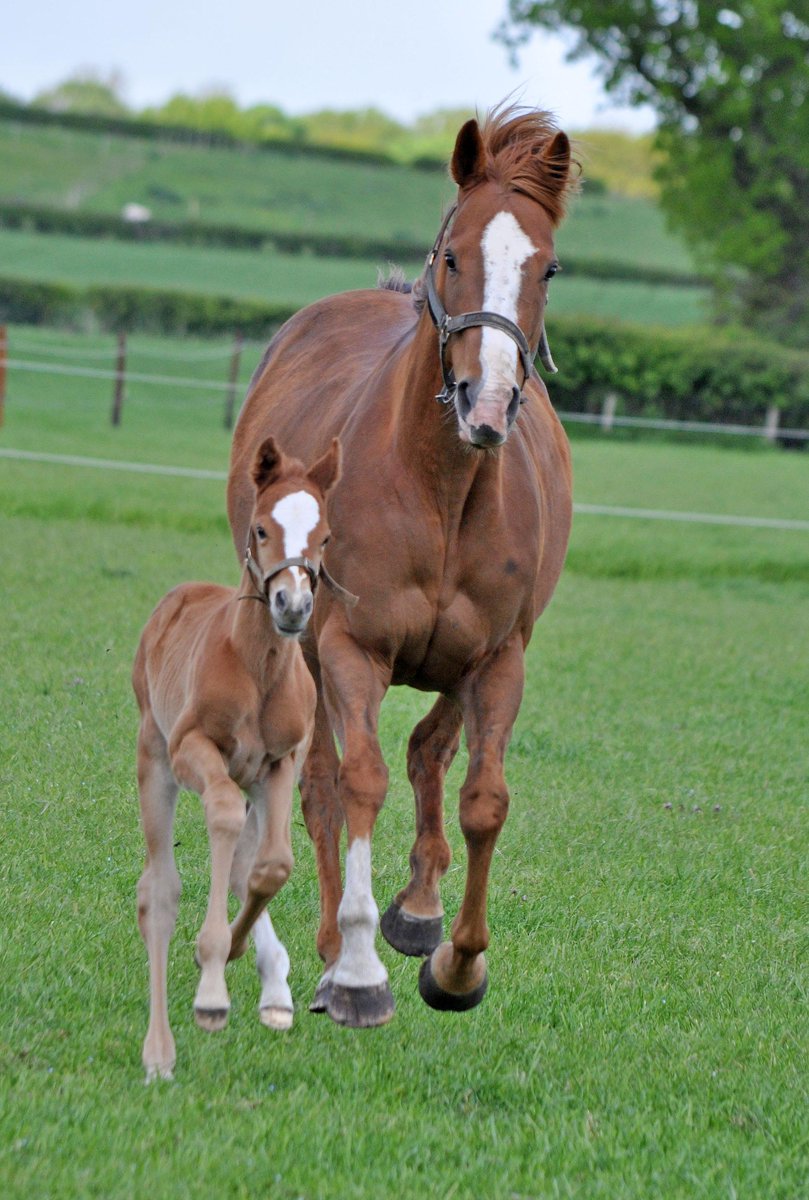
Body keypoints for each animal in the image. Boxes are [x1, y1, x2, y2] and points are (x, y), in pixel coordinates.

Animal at [133, 436, 341, 1079]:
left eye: (325, 536)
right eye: (260, 528)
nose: (293, 604)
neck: (256, 668)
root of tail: (179, 596)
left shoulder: (278, 764)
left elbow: (270, 865)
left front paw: (239, 950)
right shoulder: (194, 749)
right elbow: (221, 820)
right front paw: (211, 988)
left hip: (252, 779)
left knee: (246, 857)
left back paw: (269, 987)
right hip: (155, 758)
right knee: (159, 891)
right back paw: (159, 1052)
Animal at [227, 105, 576, 1028]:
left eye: (547, 267)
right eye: (452, 254)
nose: (485, 403)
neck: (439, 489)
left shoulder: (498, 658)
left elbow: (479, 796)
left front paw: (452, 962)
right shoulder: (352, 651)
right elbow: (357, 784)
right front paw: (355, 974)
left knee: (429, 751)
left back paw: (416, 914)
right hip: (305, 648)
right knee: (319, 784)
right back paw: (322, 953)